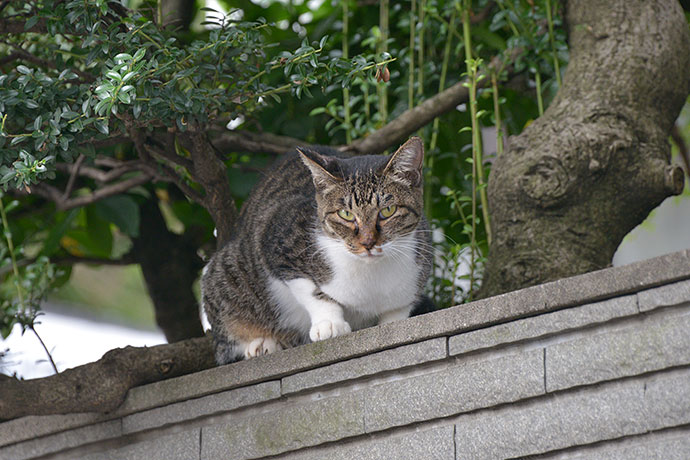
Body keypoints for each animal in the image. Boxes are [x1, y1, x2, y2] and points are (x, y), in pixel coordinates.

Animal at [202, 136, 432, 362]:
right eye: (345, 214)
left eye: (388, 210)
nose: (368, 243)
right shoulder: (276, 240)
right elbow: (311, 290)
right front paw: (329, 323)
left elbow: (398, 310)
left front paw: (392, 323)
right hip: (226, 272)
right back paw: (262, 343)